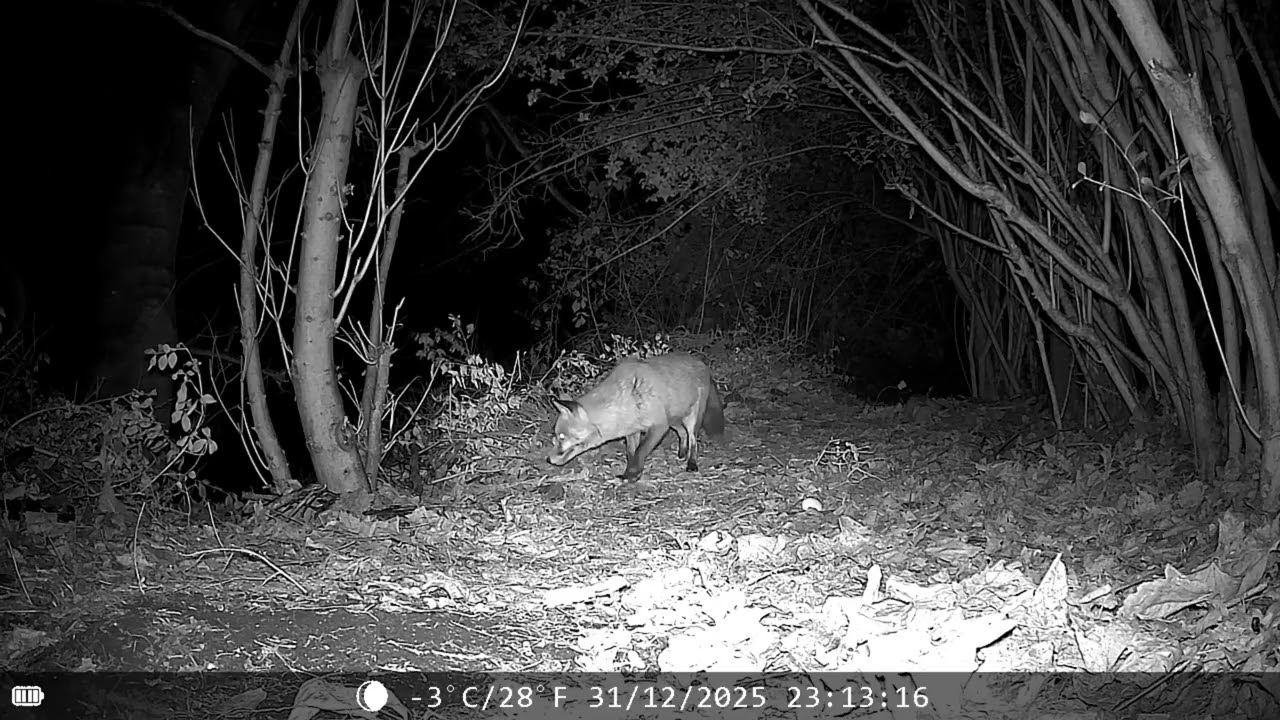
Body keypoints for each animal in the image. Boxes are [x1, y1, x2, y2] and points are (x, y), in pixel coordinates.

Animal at [548, 352, 725, 481]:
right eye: (556, 436)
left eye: (562, 437)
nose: (548, 460)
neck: (625, 400)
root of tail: (702, 363)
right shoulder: (633, 430)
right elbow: (631, 453)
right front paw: (631, 473)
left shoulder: (658, 426)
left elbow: (640, 452)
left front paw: (633, 475)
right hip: (672, 420)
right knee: (682, 433)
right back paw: (682, 452)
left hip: (690, 419)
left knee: (693, 439)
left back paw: (691, 463)